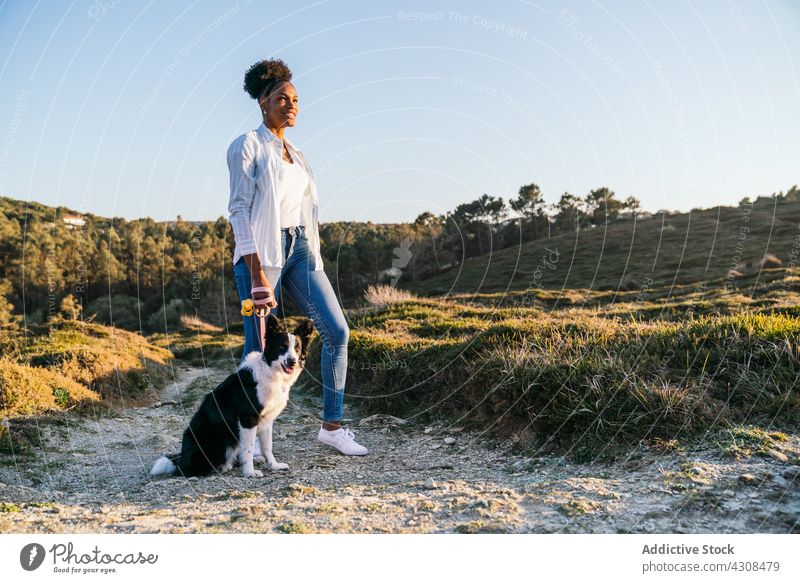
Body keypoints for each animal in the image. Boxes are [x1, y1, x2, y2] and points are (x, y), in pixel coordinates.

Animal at [150, 314, 312, 480]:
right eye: (282, 347)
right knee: (185, 470)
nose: (292, 361)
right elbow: (248, 449)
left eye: (297, 349)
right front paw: (249, 472)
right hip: (216, 443)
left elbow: (267, 447)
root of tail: (180, 459)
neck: (271, 372)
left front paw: (273, 466)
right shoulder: (248, 418)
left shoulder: (267, 420)